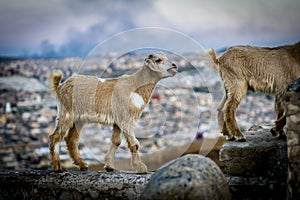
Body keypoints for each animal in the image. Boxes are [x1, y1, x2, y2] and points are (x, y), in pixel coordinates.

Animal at [48, 52, 177, 172]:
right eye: (158, 60)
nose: (174, 65)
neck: (134, 86)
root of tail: (60, 86)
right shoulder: (126, 119)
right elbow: (134, 144)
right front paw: (141, 168)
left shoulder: (118, 121)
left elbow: (116, 141)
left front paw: (109, 166)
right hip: (66, 113)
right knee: (56, 136)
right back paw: (57, 167)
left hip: (79, 119)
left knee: (71, 139)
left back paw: (83, 165)